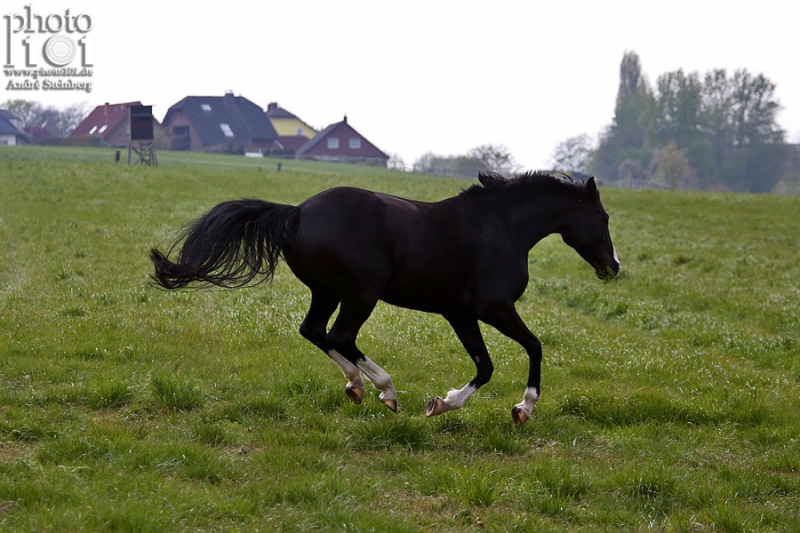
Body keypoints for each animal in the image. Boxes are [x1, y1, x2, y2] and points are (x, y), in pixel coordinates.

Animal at [148, 170, 620, 428]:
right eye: (603, 217)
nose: (612, 266)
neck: (501, 227)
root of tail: (297, 212)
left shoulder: (460, 313)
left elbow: (484, 365)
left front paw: (443, 404)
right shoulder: (494, 308)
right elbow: (532, 347)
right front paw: (521, 408)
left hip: (328, 291)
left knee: (315, 331)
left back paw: (358, 386)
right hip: (362, 293)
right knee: (339, 336)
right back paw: (385, 390)